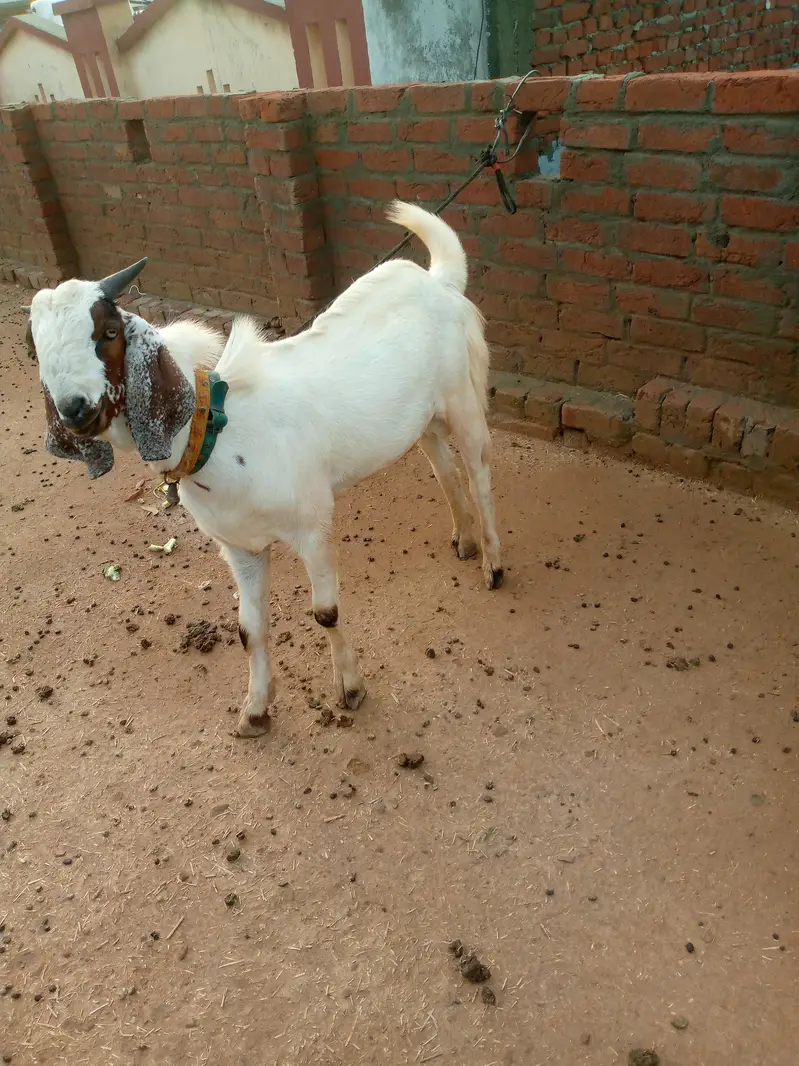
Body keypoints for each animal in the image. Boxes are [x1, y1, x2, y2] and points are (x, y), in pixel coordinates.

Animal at [29, 201, 502, 738]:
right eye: (38, 348)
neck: (220, 429)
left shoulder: (313, 524)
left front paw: (350, 690)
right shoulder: (239, 547)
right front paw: (254, 712)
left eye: (108, 333)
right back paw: (464, 539)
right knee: (444, 468)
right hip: (420, 419)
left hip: (463, 396)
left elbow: (326, 612)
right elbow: (248, 630)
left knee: (479, 471)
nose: (75, 410)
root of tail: (438, 281)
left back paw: (492, 563)